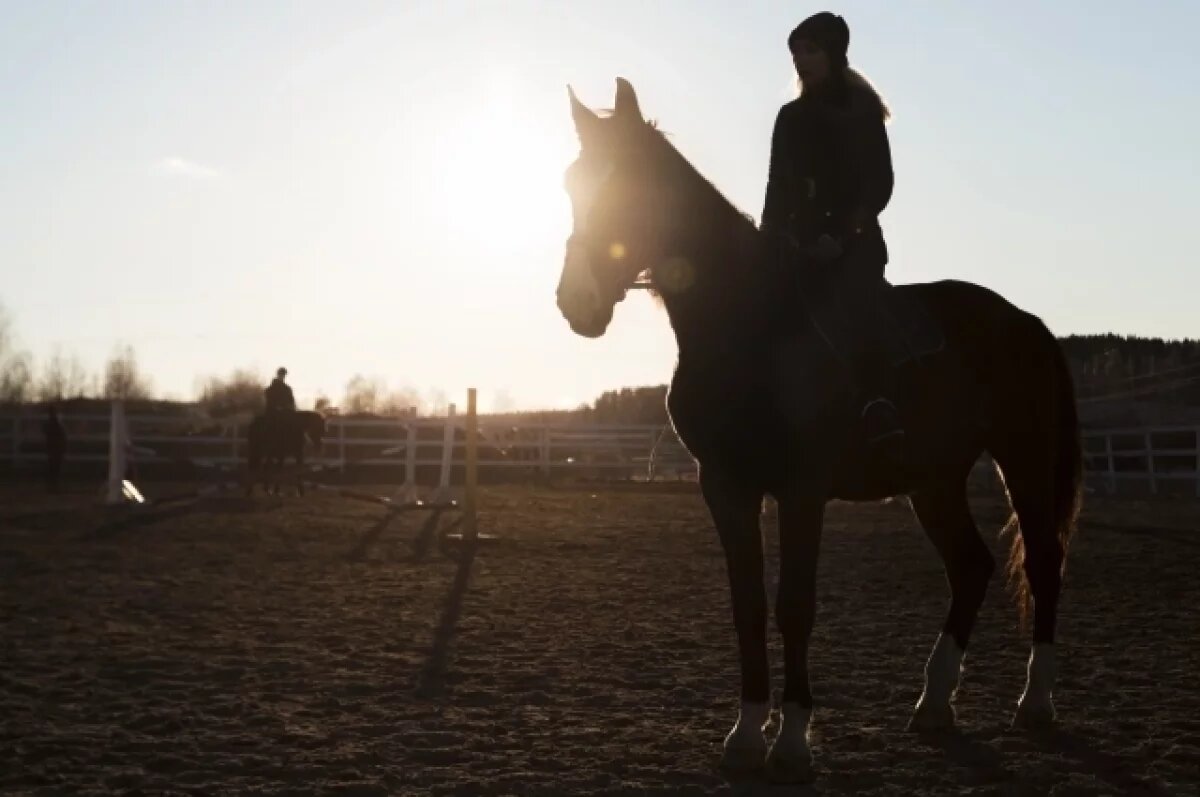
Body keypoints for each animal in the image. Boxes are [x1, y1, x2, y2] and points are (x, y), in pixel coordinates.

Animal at [556, 78, 1084, 782]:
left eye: (630, 186)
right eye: (572, 184)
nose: (577, 303)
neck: (749, 324)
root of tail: (1027, 322)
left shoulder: (802, 490)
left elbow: (794, 606)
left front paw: (792, 740)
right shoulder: (725, 486)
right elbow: (748, 606)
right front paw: (746, 734)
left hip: (1023, 458)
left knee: (1045, 562)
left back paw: (1036, 702)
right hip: (934, 480)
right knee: (971, 565)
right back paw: (934, 703)